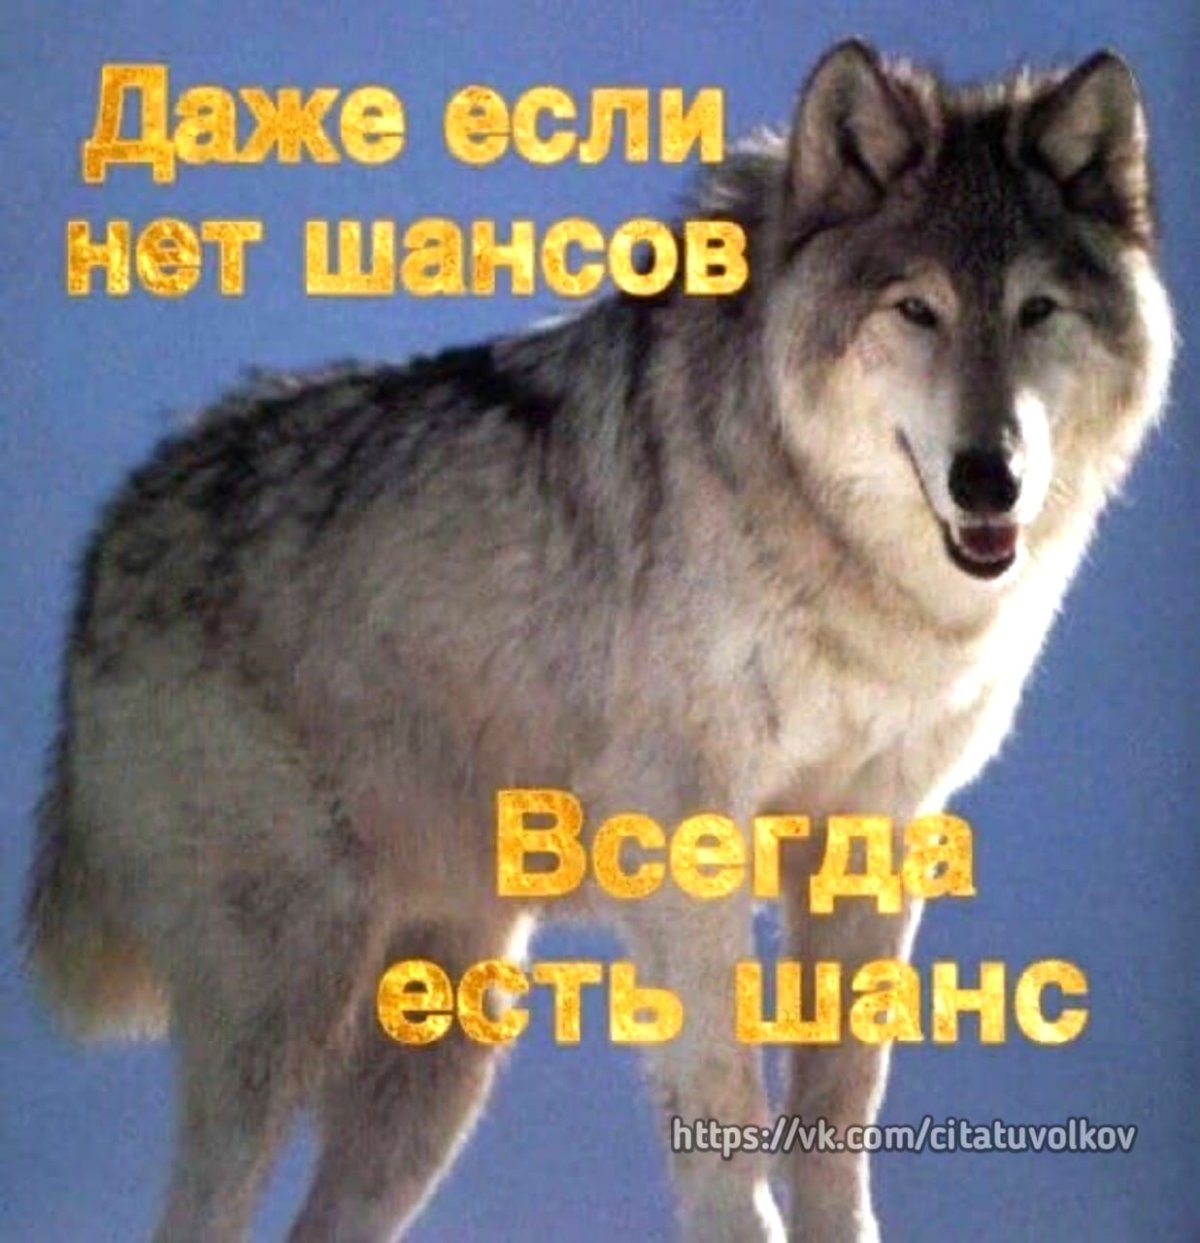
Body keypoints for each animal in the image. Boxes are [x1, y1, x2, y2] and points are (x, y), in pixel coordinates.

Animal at [25, 38, 1173, 1243]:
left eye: (1038, 309)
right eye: (918, 308)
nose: (988, 477)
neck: (839, 556)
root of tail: (109, 537)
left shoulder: (871, 832)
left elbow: (837, 1122)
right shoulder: (684, 834)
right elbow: (724, 1104)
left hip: (442, 1057)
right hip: (285, 1005)